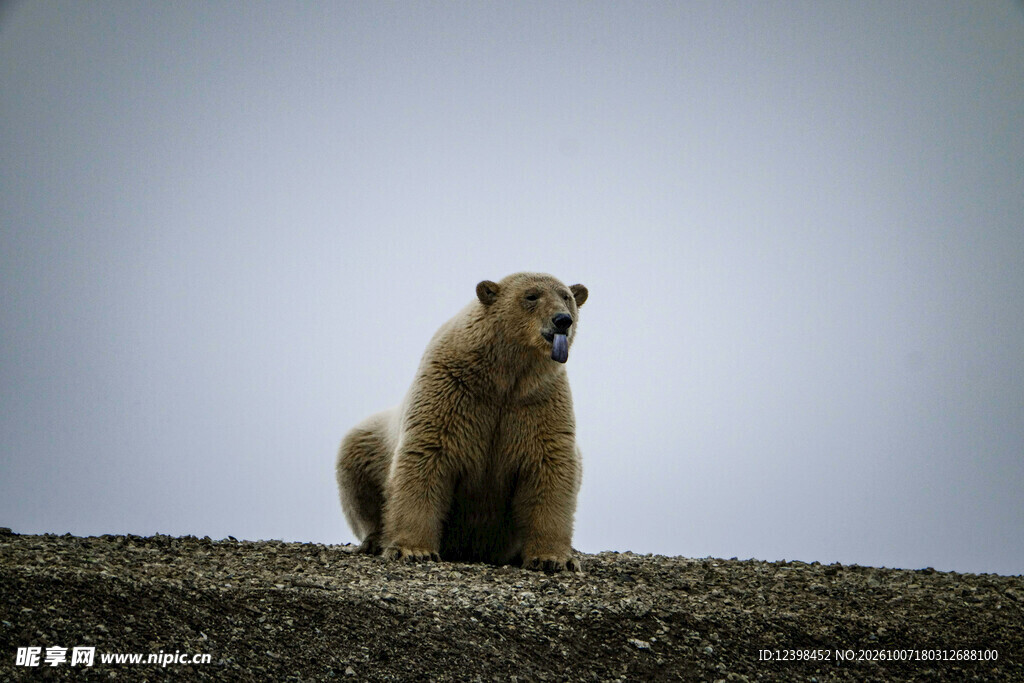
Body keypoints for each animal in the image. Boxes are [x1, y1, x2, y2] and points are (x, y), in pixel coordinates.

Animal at [336, 272, 588, 572]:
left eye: (566, 297)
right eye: (531, 296)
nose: (562, 320)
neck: (502, 378)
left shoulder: (538, 402)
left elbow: (548, 466)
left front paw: (552, 558)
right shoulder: (450, 390)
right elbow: (426, 457)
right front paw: (413, 550)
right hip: (372, 440)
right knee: (356, 467)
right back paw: (375, 539)